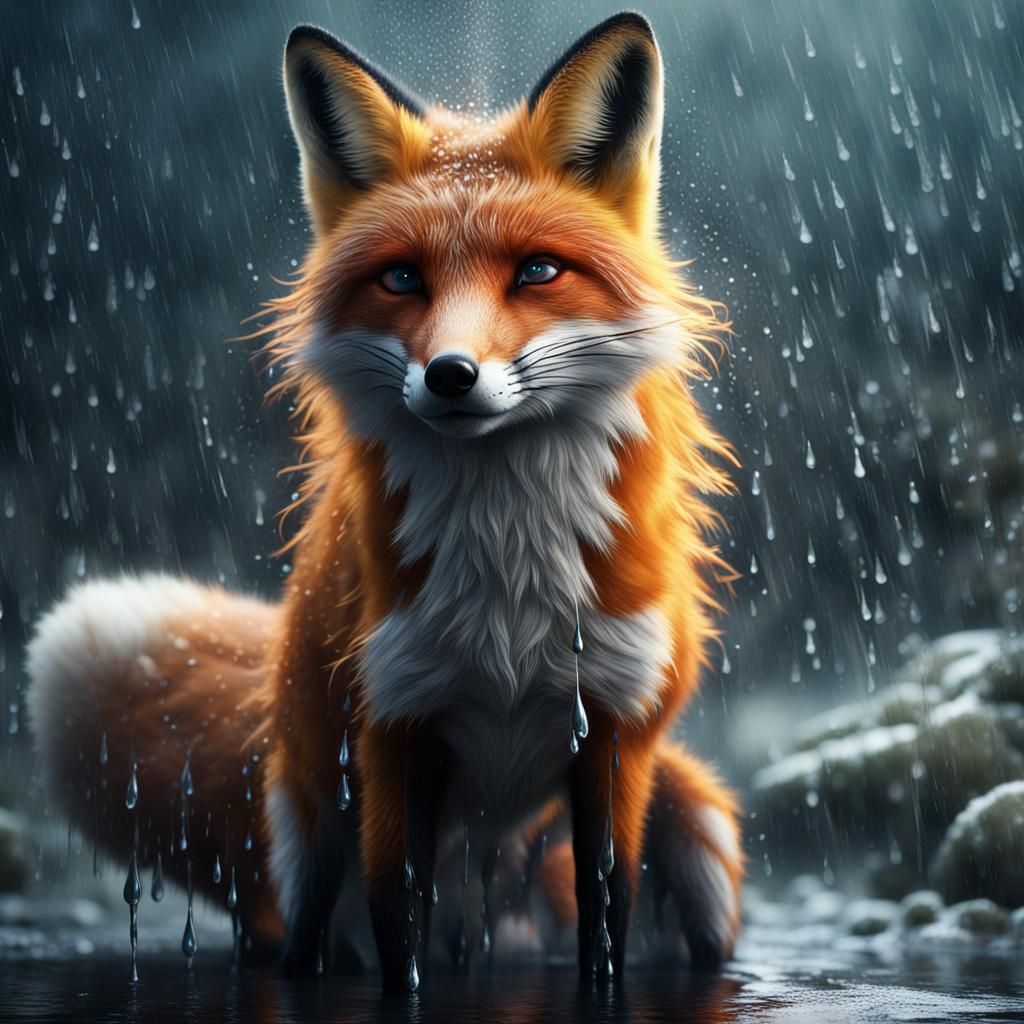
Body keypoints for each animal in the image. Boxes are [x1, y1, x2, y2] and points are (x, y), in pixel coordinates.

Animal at [26, 12, 743, 989]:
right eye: (402, 279)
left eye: (538, 272)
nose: (450, 375)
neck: (508, 591)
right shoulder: (396, 734)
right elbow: (399, 942)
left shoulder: (613, 736)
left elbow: (608, 940)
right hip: (314, 839)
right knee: (306, 946)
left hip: (694, 862)